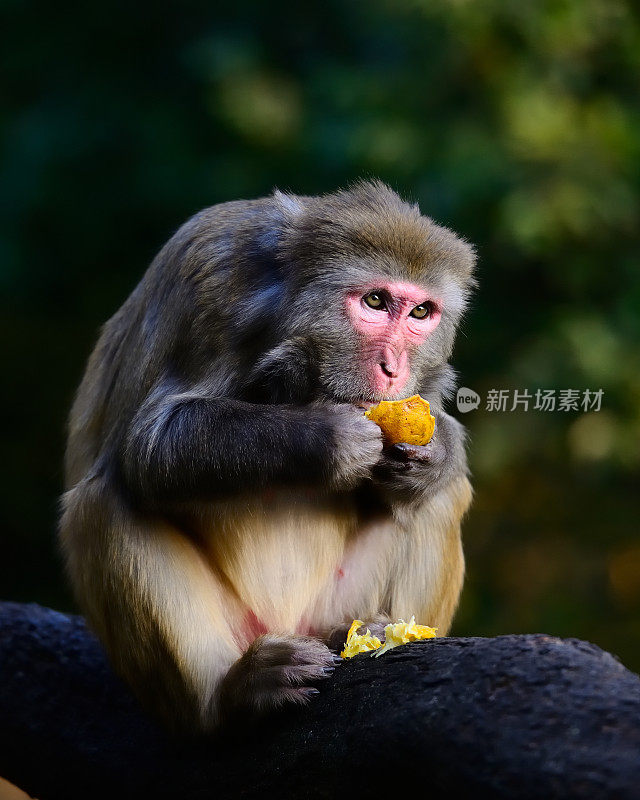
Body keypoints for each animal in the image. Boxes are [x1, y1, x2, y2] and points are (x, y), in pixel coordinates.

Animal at [58, 180, 476, 732]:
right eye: (375, 300)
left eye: (421, 314)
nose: (393, 368)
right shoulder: (208, 279)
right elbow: (149, 445)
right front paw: (325, 436)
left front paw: (432, 457)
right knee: (106, 501)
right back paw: (235, 693)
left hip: (334, 604)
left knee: (441, 500)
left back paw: (378, 631)